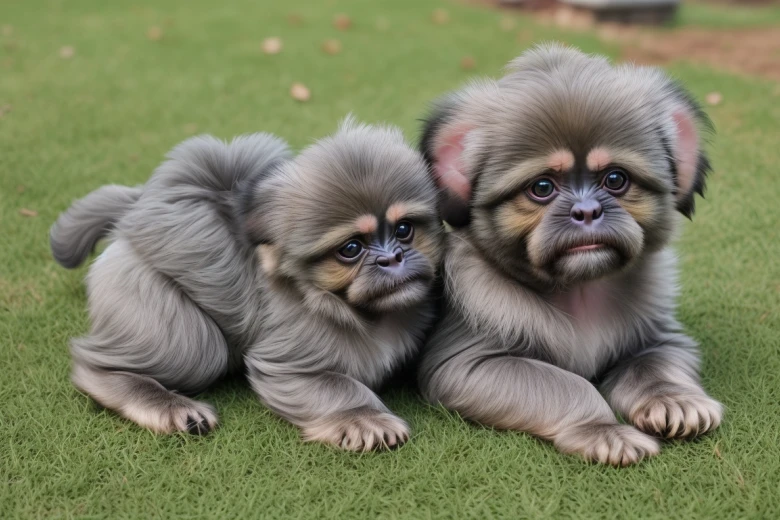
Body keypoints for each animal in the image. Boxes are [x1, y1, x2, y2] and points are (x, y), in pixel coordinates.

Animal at [50, 118, 444, 451]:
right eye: (351, 249)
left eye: (404, 230)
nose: (392, 259)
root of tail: (132, 213)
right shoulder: (286, 364)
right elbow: (337, 386)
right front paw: (365, 418)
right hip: (168, 317)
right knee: (97, 365)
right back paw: (166, 405)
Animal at [417, 44, 723, 466]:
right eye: (542, 187)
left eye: (616, 179)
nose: (587, 211)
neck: (580, 292)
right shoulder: (467, 363)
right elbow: (569, 385)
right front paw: (604, 430)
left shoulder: (662, 339)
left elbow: (656, 366)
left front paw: (673, 399)